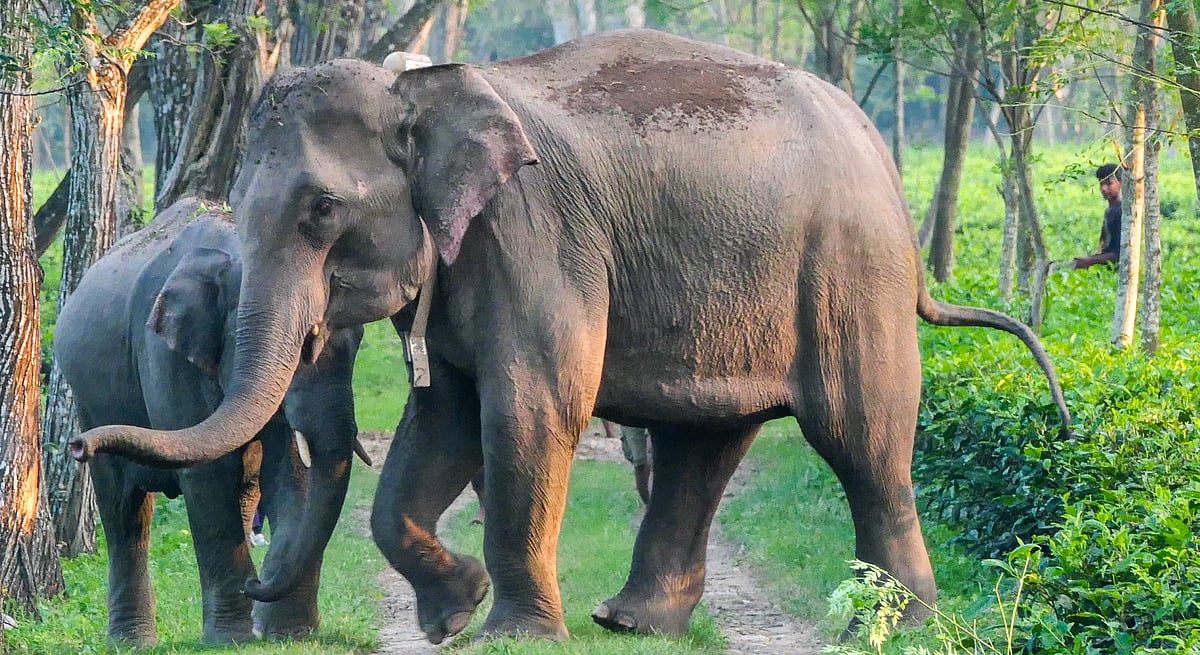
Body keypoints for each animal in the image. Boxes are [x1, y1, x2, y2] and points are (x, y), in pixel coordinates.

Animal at [54, 197, 366, 646]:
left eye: (358, 340)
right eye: (306, 343)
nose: (79, 444)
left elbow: (294, 473)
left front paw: (288, 634)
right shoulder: (165, 353)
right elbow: (209, 476)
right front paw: (233, 639)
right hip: (90, 398)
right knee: (124, 511)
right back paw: (132, 642)